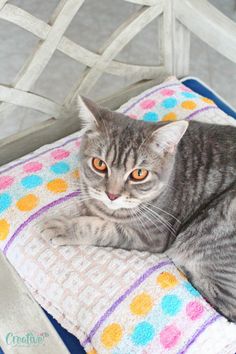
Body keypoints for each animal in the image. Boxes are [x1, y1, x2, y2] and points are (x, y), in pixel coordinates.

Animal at [36, 95, 236, 322]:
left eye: (139, 174)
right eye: (99, 164)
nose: (112, 195)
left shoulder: (151, 236)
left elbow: (101, 227)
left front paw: (64, 227)